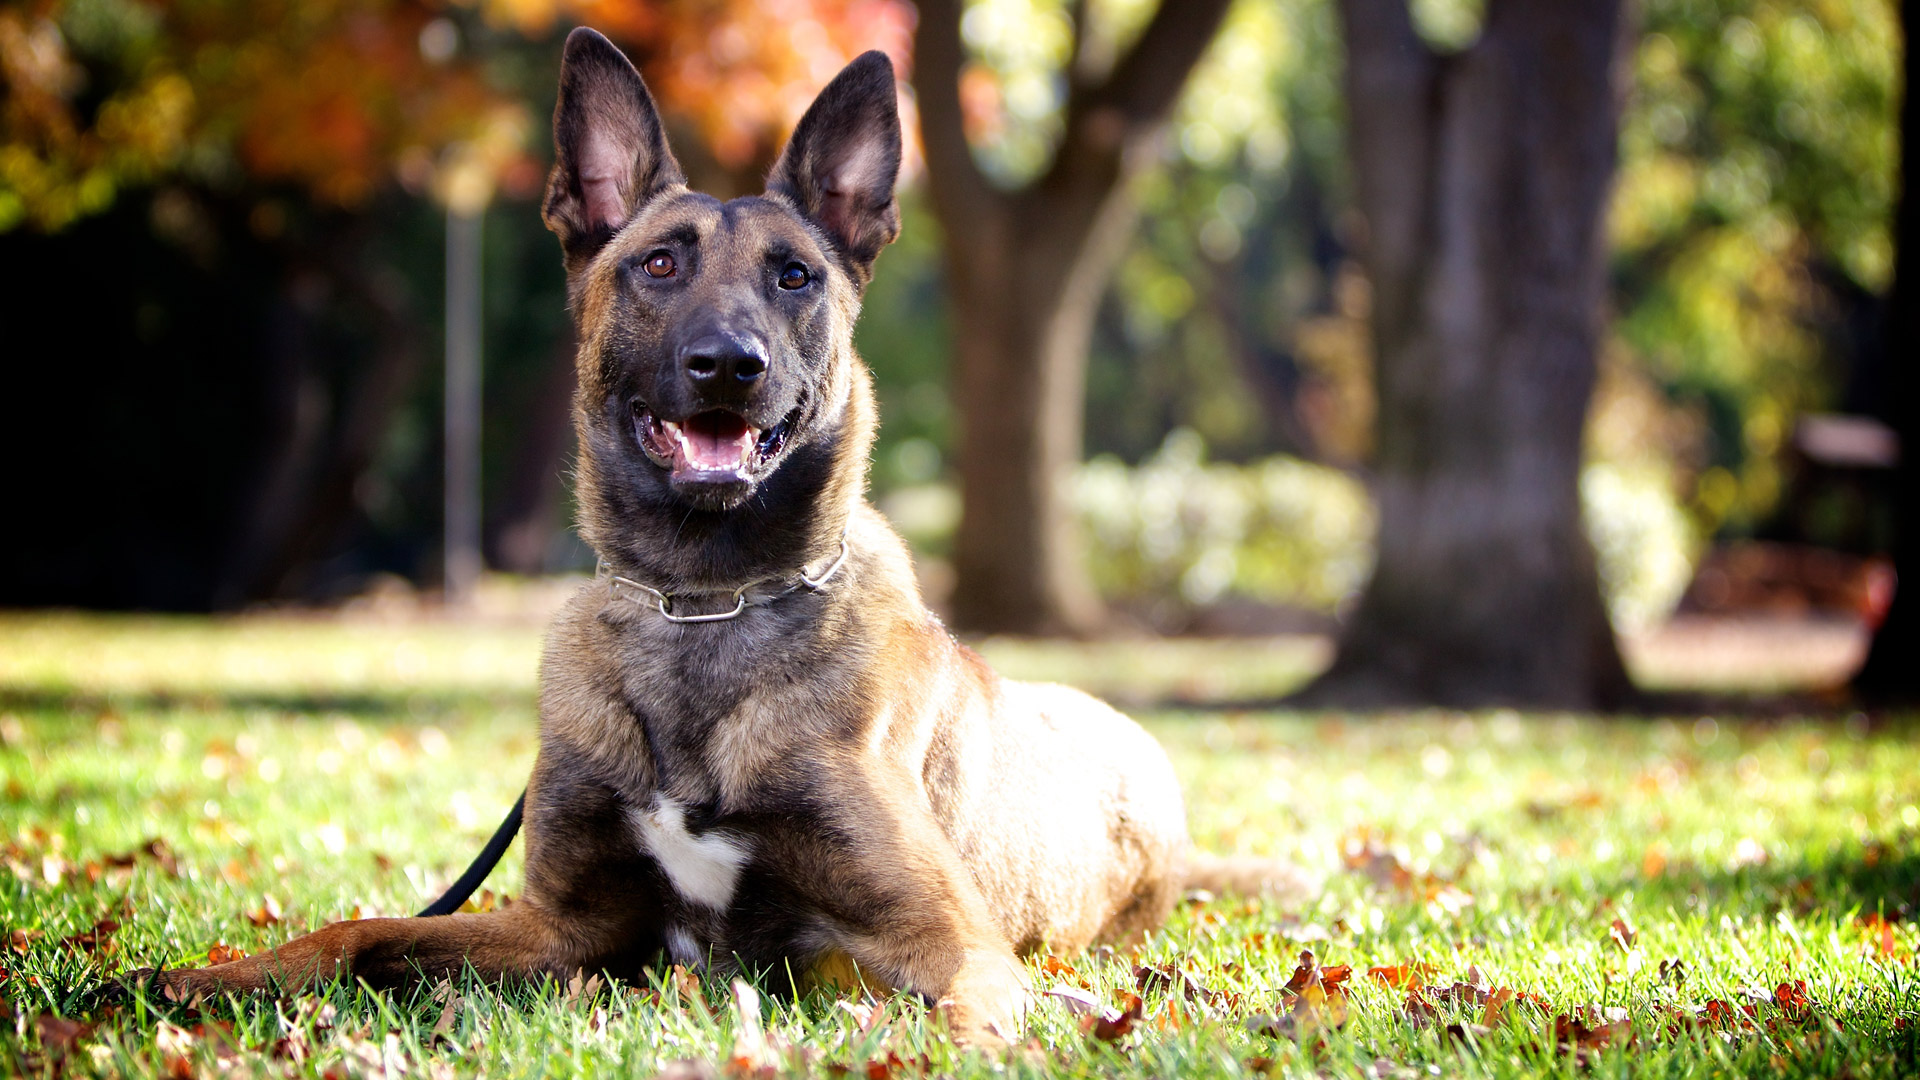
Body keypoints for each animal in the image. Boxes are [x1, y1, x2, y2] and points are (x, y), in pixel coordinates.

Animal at [135, 29, 1297, 1045]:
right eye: (658, 265)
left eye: (795, 276)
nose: (729, 365)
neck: (702, 603)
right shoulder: (564, 929)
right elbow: (362, 930)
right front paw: (211, 978)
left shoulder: (947, 940)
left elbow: (963, 1011)